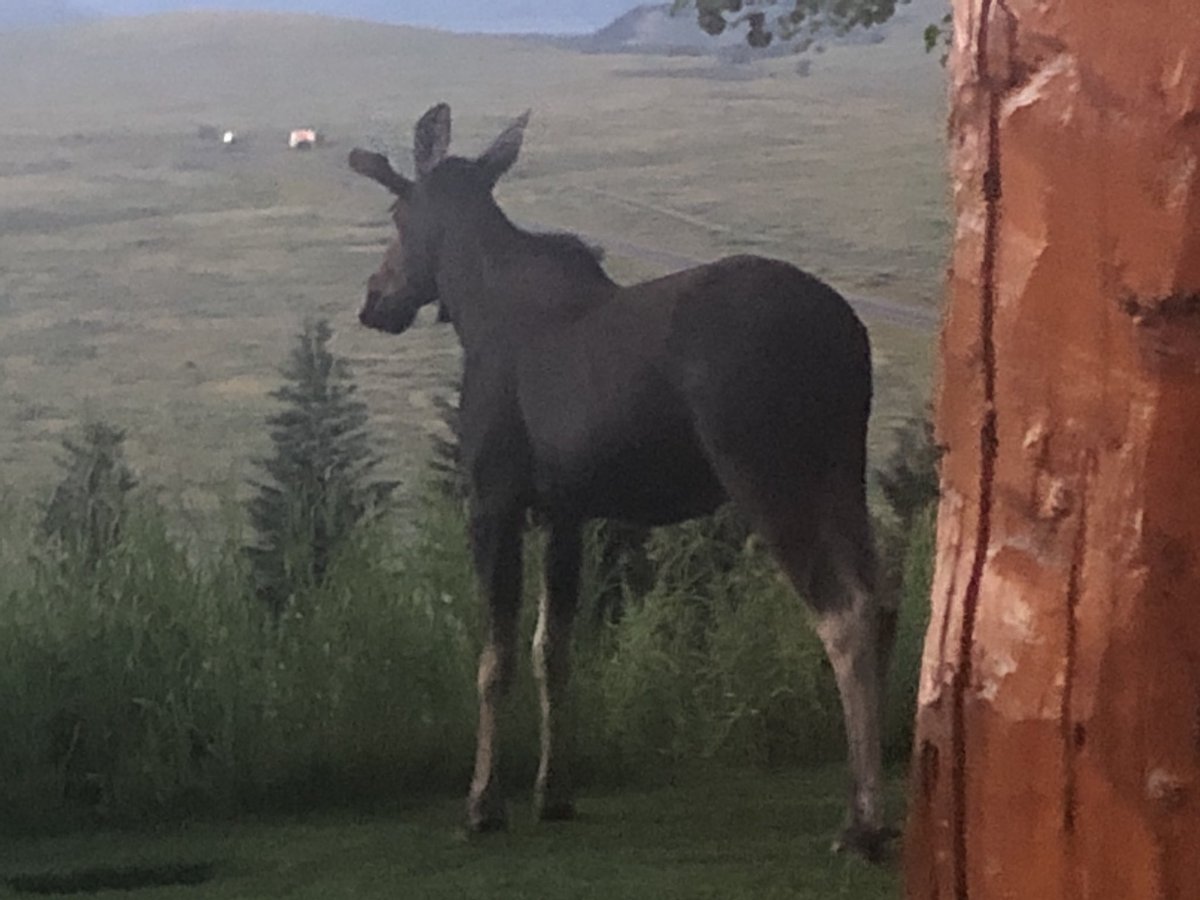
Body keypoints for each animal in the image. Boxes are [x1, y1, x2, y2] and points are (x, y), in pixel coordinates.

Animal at [347, 103, 898, 860]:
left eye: (397, 215)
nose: (375, 300)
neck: (474, 309)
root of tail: (848, 336)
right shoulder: (564, 510)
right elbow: (553, 650)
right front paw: (553, 793)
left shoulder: (492, 497)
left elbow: (494, 660)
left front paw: (483, 802)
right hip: (843, 467)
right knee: (885, 600)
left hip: (770, 469)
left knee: (845, 612)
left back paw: (863, 821)